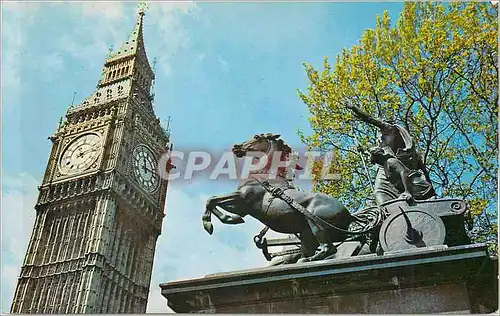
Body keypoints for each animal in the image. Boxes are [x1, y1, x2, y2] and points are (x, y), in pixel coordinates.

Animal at [201, 133, 354, 262]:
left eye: (256, 137)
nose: (236, 147)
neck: (263, 176)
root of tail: (349, 215)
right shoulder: (242, 208)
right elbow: (214, 201)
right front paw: (231, 219)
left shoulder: (242, 198)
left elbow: (211, 200)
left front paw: (211, 224)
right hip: (306, 233)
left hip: (316, 223)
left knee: (329, 248)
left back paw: (308, 260)